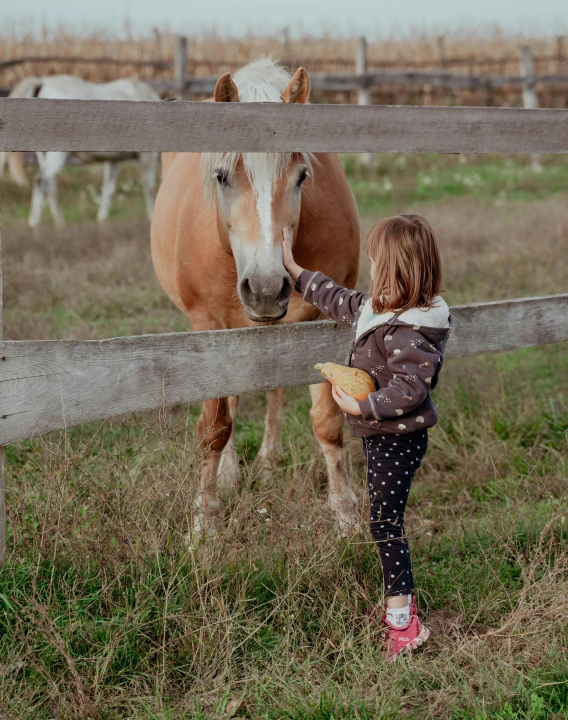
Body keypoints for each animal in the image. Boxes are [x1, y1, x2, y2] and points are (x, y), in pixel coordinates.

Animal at [0, 74, 160, 224]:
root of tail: (43, 82)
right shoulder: (147, 157)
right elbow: (150, 189)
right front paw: (152, 217)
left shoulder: (113, 159)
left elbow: (108, 189)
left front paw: (102, 219)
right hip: (56, 154)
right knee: (41, 180)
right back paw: (35, 224)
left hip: (43, 154)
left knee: (49, 184)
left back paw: (59, 222)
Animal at [152, 57, 360, 536]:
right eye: (221, 176)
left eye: (302, 176)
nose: (266, 287)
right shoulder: (207, 326)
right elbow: (214, 424)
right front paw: (205, 520)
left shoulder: (317, 322)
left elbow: (327, 422)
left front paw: (345, 513)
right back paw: (231, 474)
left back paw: (266, 462)